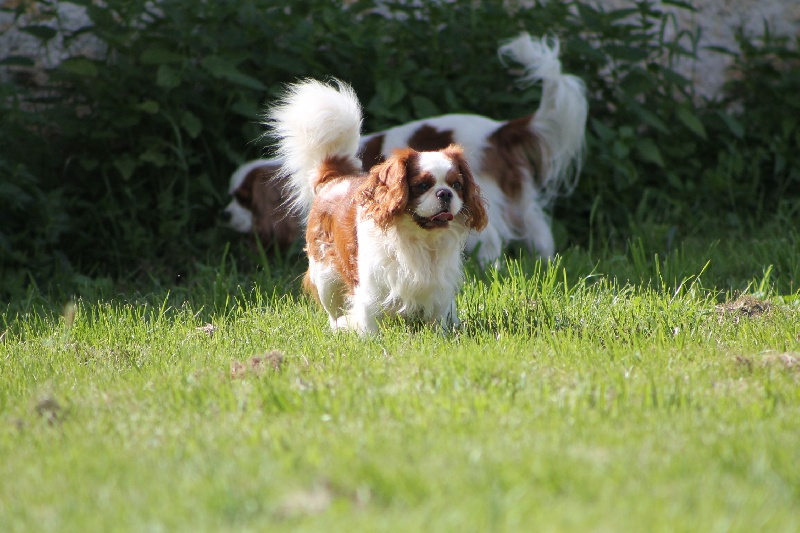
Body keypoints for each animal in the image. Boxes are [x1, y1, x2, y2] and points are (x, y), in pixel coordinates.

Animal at [225, 32, 588, 264]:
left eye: (243, 200)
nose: (226, 215)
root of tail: (498, 130)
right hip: (519, 199)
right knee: (539, 230)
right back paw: (546, 263)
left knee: (493, 238)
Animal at [268, 79, 488, 332]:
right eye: (422, 185)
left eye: (457, 185)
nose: (445, 193)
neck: (419, 239)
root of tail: (337, 177)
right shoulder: (371, 284)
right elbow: (369, 316)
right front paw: (370, 337)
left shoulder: (438, 286)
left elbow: (438, 317)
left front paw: (442, 335)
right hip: (325, 276)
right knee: (333, 310)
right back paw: (339, 329)